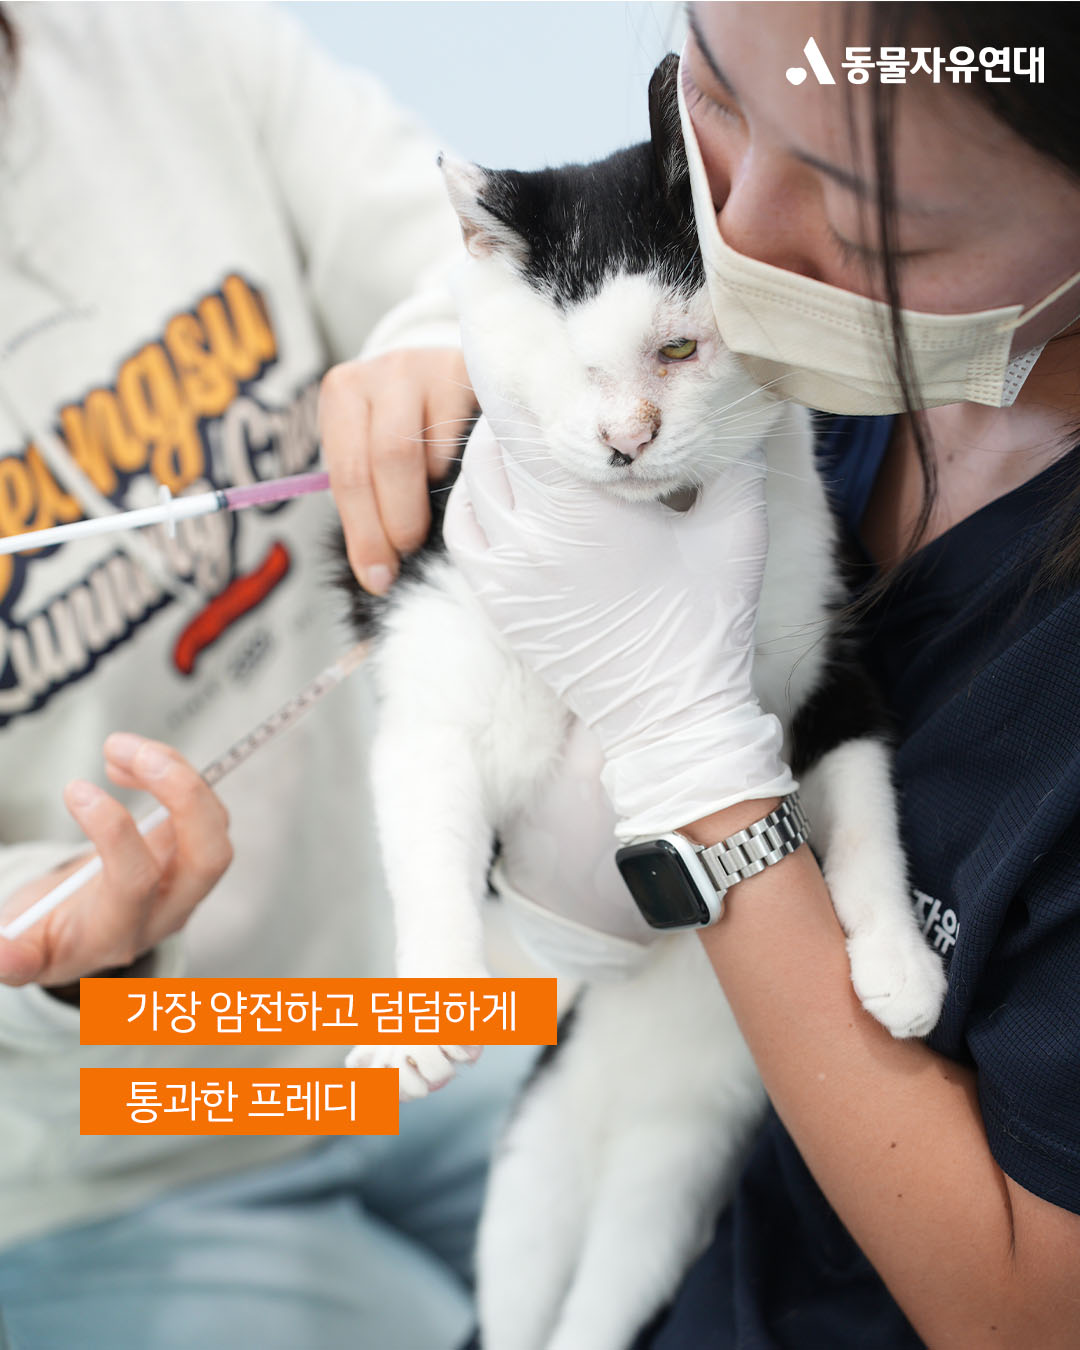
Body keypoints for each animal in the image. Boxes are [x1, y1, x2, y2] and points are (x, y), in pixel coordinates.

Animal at [333, 54, 946, 1350]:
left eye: (678, 351)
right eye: (571, 365)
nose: (625, 440)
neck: (651, 529)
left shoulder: (828, 671)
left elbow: (864, 812)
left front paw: (900, 967)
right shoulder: (435, 648)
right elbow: (428, 825)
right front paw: (426, 1009)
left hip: (672, 1176)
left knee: (610, 1286)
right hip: (530, 1180)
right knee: (519, 1295)